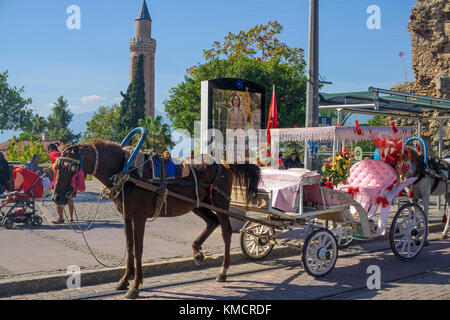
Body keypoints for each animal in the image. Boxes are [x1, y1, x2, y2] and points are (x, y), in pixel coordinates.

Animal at [51, 139, 260, 298]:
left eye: (71, 167)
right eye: (56, 167)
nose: (56, 197)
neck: (126, 170)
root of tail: (224, 162)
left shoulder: (139, 217)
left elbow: (138, 250)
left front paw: (135, 286)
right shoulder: (127, 216)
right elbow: (129, 247)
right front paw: (124, 280)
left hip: (220, 203)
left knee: (226, 231)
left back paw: (223, 271)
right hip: (199, 204)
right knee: (212, 223)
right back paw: (197, 252)